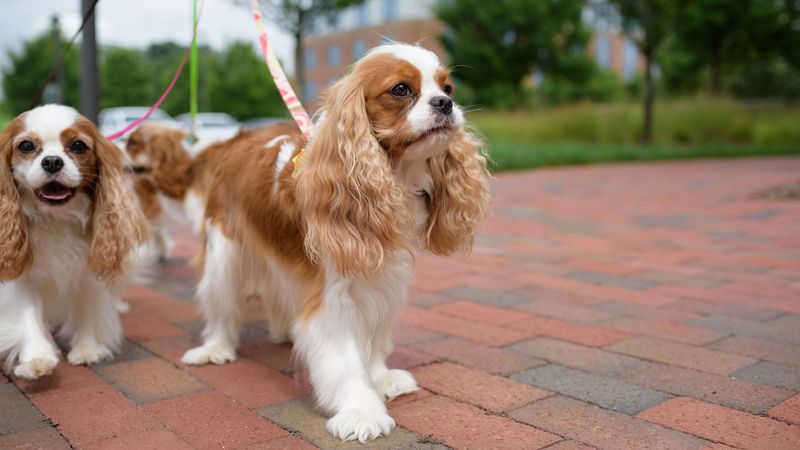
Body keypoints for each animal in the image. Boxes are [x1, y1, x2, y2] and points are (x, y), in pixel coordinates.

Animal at [0, 104, 147, 380]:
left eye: (78, 145)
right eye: (26, 145)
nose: (52, 161)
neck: (55, 219)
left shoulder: (88, 267)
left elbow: (88, 304)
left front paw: (88, 348)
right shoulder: (20, 277)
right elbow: (27, 313)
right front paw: (37, 358)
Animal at [181, 44, 490, 442]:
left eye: (448, 87)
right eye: (401, 89)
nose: (445, 104)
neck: (387, 178)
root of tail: (236, 138)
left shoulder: (382, 280)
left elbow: (373, 338)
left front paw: (380, 378)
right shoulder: (333, 298)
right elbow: (344, 360)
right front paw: (361, 411)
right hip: (224, 252)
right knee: (220, 303)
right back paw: (215, 348)